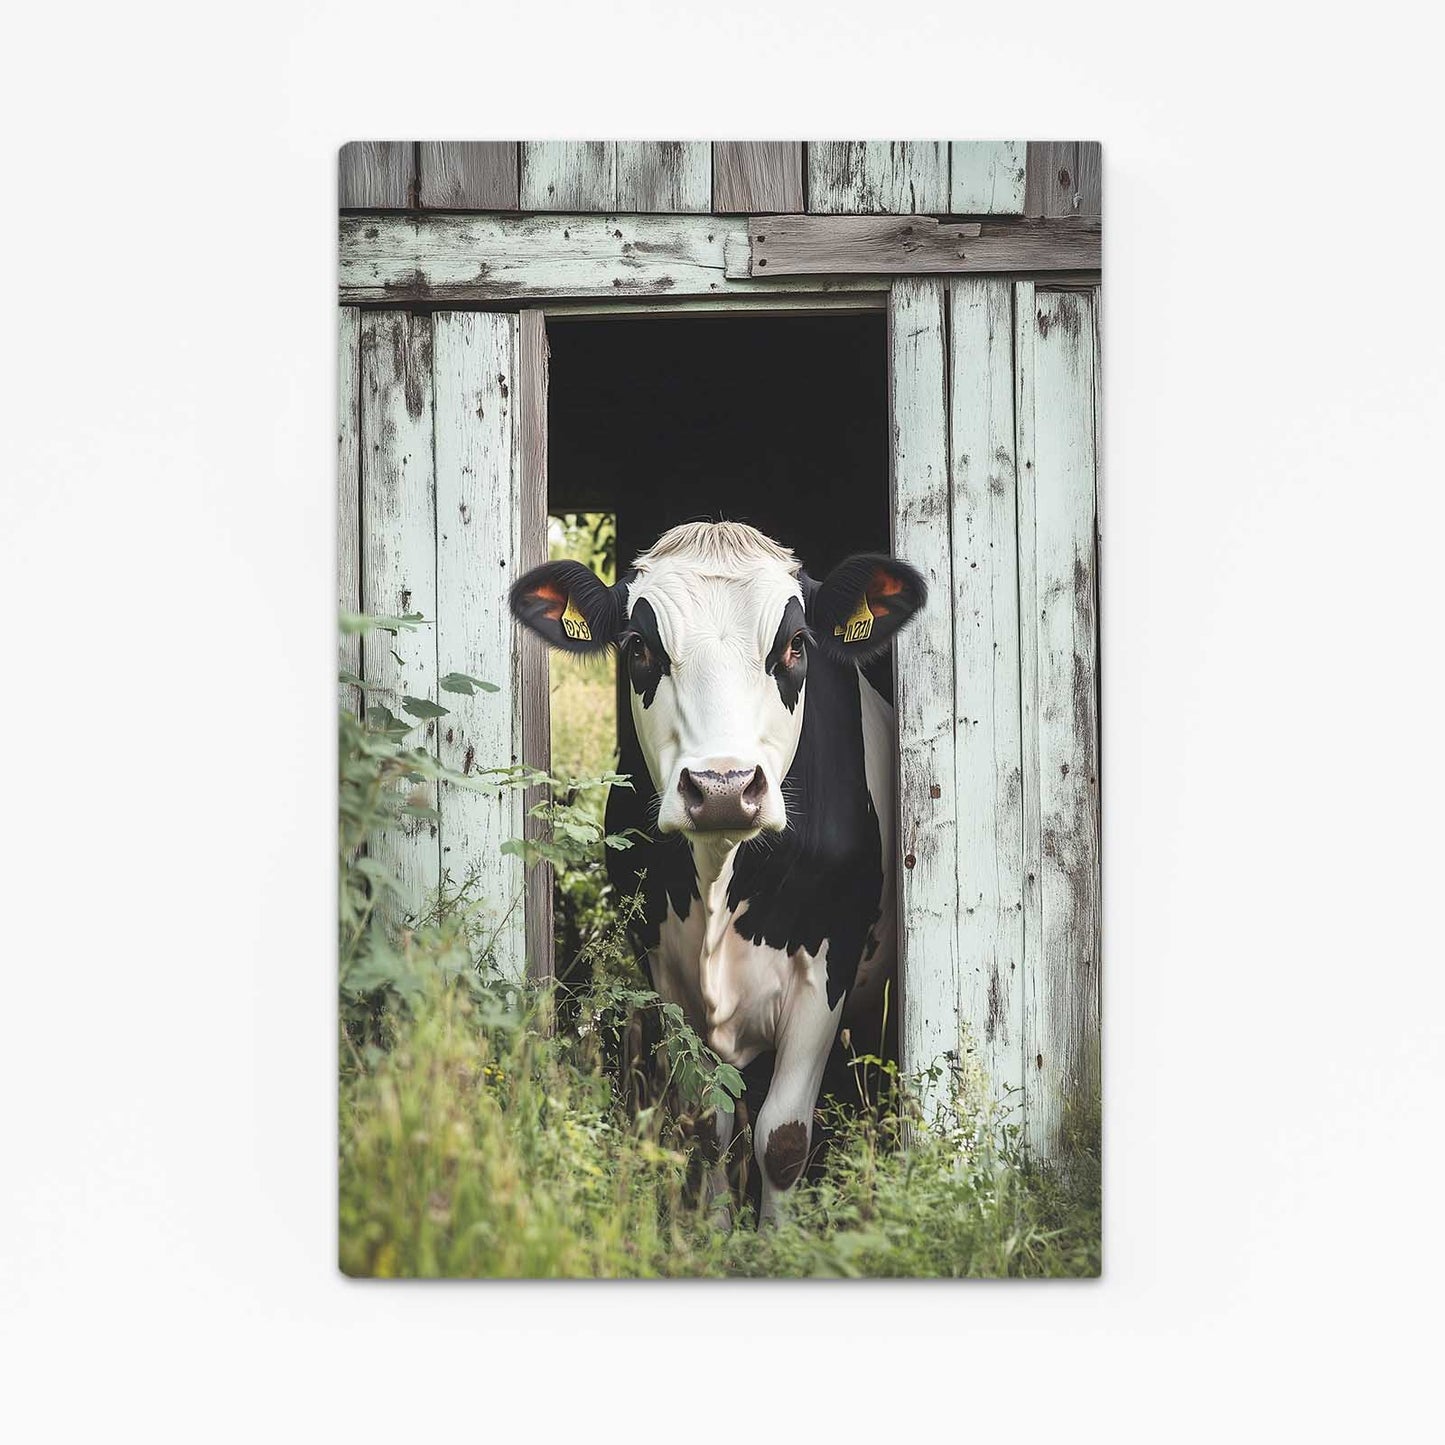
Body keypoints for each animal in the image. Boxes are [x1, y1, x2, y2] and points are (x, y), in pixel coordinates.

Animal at [510, 520, 925, 1222]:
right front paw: (711, 1229)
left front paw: (776, 1237)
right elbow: (706, 1123)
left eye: (794, 644)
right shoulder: (665, 969)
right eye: (640, 646)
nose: (723, 788)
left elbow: (784, 1139)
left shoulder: (829, 966)